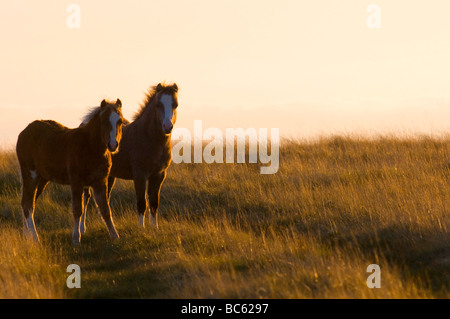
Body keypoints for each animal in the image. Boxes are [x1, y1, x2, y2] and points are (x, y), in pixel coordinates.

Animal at [16, 100, 124, 245]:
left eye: (120, 121)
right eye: (103, 121)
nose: (113, 145)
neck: (90, 146)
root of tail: (23, 133)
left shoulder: (100, 182)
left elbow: (105, 209)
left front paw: (115, 236)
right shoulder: (76, 181)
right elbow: (78, 209)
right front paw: (76, 238)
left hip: (42, 179)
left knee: (26, 203)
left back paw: (26, 236)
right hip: (30, 175)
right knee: (28, 205)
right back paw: (35, 238)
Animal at [83, 82, 178, 230]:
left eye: (175, 104)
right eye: (158, 104)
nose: (167, 126)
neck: (148, 138)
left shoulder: (159, 175)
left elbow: (154, 203)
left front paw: (154, 228)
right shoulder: (140, 175)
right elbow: (141, 203)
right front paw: (141, 228)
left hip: (109, 176)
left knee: (104, 199)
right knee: (86, 198)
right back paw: (83, 228)